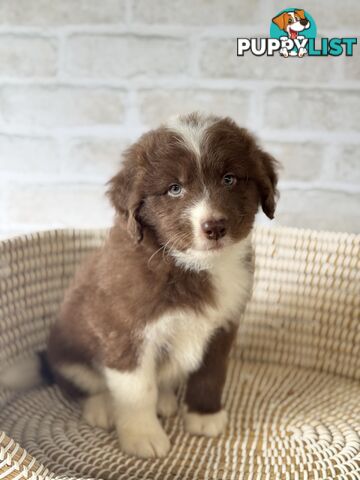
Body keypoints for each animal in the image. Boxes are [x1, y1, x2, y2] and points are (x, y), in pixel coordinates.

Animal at [31, 112, 278, 458]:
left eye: (229, 179)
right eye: (174, 188)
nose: (215, 227)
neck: (189, 266)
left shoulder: (222, 326)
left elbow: (211, 373)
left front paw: (204, 416)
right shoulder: (125, 332)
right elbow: (138, 390)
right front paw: (142, 437)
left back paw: (165, 400)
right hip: (68, 352)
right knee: (79, 386)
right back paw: (102, 407)